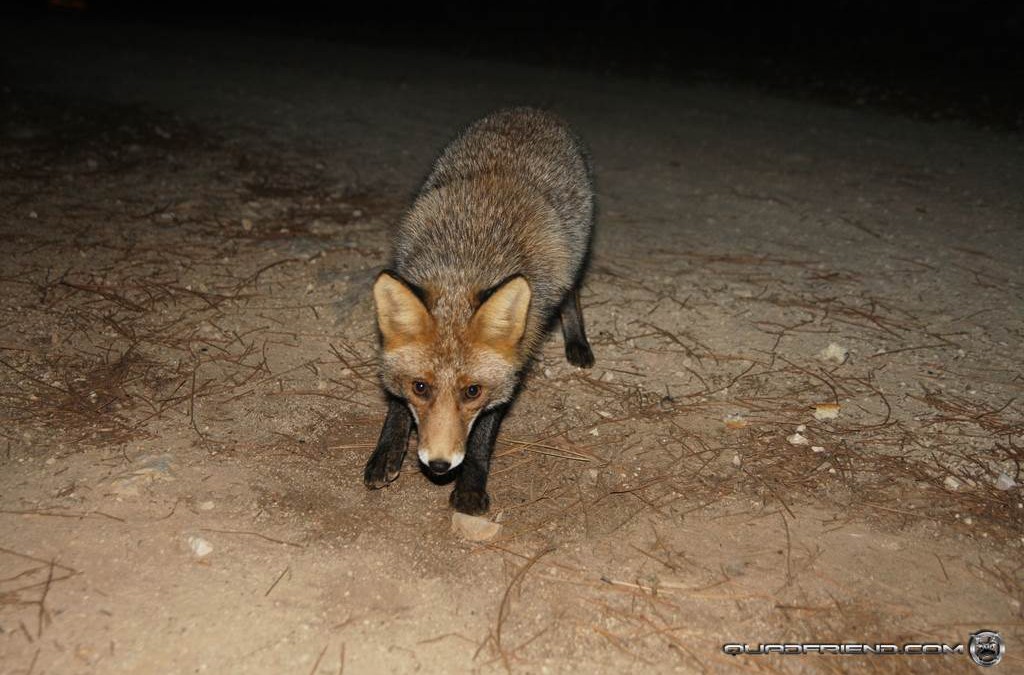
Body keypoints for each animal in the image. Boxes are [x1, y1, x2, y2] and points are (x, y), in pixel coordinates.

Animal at [364, 108, 598, 514]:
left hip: (573, 256)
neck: (466, 262)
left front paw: (470, 487)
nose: (439, 465)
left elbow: (484, 435)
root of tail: (530, 109)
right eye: (420, 387)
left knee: (571, 294)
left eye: (473, 391)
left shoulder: (519, 354)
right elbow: (395, 402)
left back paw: (578, 343)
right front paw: (387, 450)